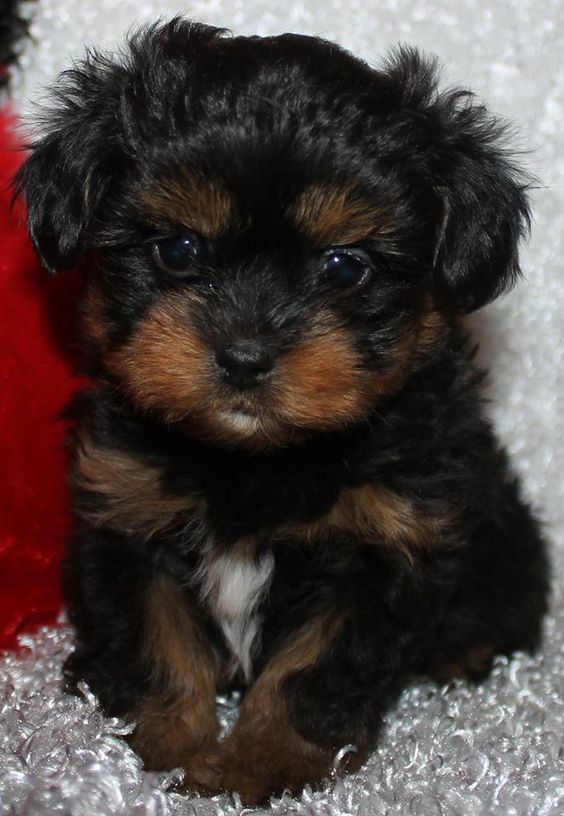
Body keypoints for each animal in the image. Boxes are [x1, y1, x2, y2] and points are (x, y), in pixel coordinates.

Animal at [14, 19, 552, 804]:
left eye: (345, 267)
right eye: (178, 250)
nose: (244, 356)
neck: (257, 459)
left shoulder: (390, 537)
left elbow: (312, 669)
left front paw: (260, 764)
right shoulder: (126, 507)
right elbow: (154, 643)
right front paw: (167, 753)